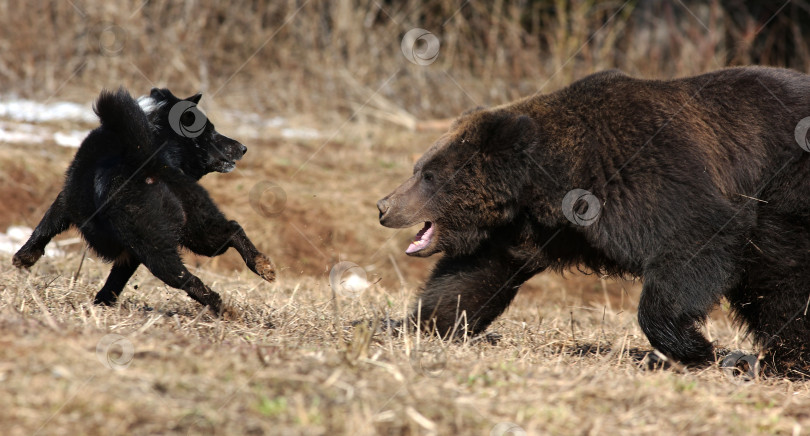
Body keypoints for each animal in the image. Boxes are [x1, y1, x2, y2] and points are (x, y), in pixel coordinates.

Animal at [13, 88, 274, 314]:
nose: (243, 148)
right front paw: (103, 302)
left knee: (187, 279)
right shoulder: (130, 252)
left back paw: (224, 309)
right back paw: (261, 266)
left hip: (154, 245)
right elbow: (116, 279)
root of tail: (148, 159)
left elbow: (45, 226)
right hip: (198, 228)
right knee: (231, 229)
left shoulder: (66, 199)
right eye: (209, 132)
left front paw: (23, 258)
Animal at [378, 66, 808, 370]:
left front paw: (692, 347)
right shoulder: (526, 230)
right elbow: (469, 278)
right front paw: (407, 325)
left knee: (781, 274)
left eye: (428, 174)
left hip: (785, 187)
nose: (384, 206)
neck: (550, 184)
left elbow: (695, 237)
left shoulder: (644, 174)